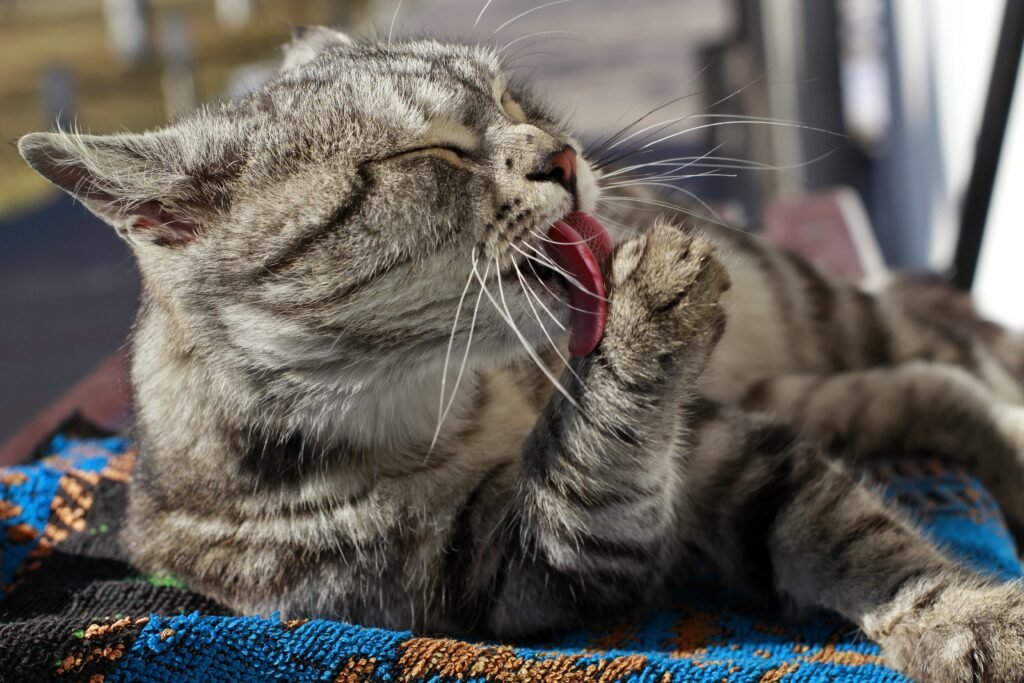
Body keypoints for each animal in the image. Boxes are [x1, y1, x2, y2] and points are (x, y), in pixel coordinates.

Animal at [18, 26, 1024, 683]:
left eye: (511, 101)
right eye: (428, 152)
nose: (565, 156)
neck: (450, 399)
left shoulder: (721, 449)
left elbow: (858, 537)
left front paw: (966, 614)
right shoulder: (529, 566)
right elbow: (594, 460)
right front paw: (641, 320)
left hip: (829, 314)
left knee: (954, 358)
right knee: (935, 385)